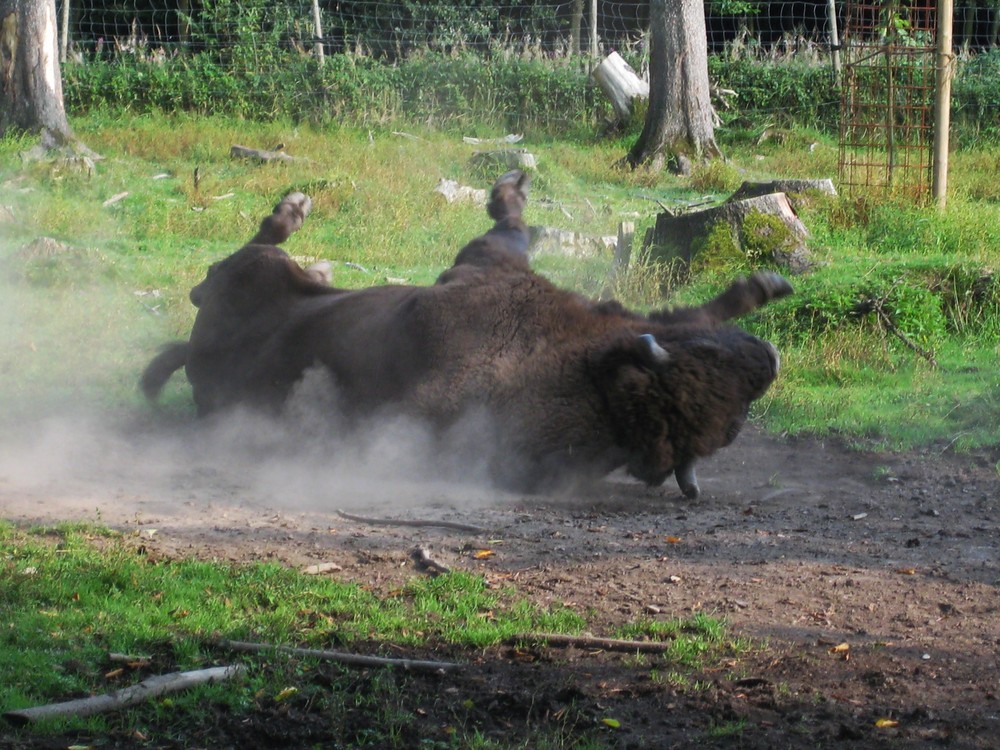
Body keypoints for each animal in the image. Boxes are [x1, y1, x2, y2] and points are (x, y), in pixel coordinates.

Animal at [143, 176, 788, 500]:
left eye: (729, 415)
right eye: (697, 361)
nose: (768, 359)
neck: (582, 371)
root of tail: (201, 353)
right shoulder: (489, 271)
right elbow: (511, 230)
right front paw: (764, 284)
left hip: (248, 284)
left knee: (244, 258)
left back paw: (295, 219)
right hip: (262, 274)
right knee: (256, 252)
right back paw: (298, 216)